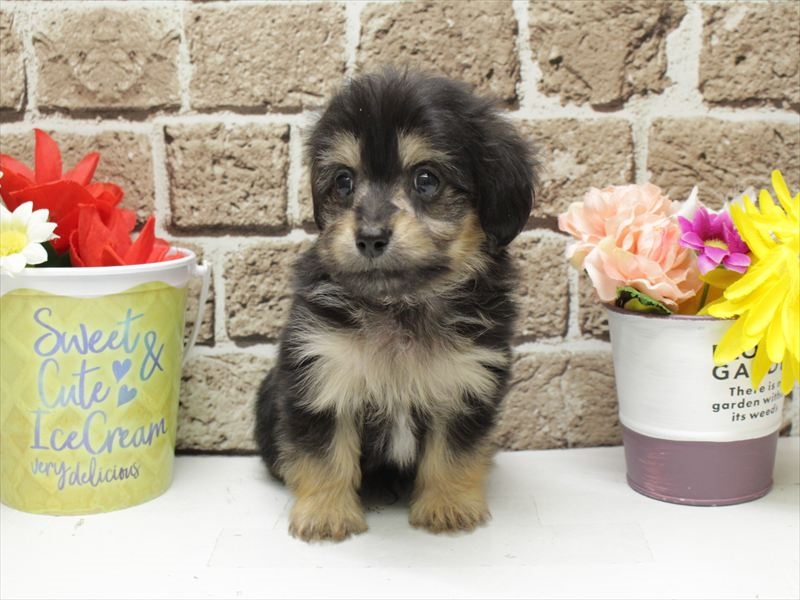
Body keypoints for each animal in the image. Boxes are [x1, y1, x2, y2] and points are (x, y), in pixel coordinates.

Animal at [255, 69, 536, 541]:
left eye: (426, 179)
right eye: (344, 181)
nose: (369, 237)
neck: (399, 304)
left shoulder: (466, 380)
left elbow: (453, 453)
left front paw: (448, 506)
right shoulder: (321, 373)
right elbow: (323, 454)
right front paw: (326, 513)